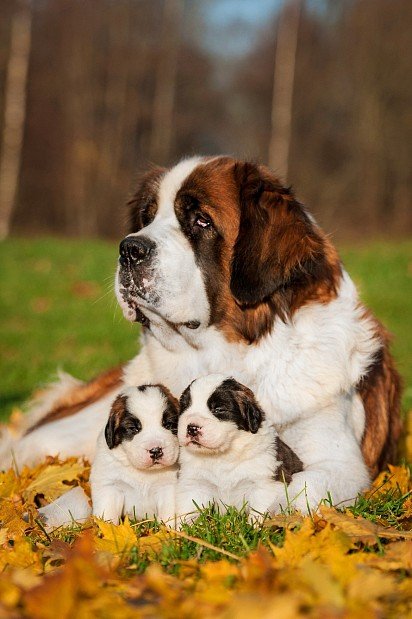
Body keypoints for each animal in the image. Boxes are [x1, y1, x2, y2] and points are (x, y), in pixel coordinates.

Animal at [90, 388, 179, 524]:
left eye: (168, 425)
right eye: (133, 428)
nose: (155, 450)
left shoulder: (168, 487)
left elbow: (168, 514)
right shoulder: (110, 485)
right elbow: (107, 514)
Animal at [177, 372, 302, 524]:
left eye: (218, 409)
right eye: (185, 407)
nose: (192, 428)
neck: (222, 455)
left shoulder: (266, 484)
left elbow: (259, 512)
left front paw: (255, 527)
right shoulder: (194, 484)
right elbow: (188, 512)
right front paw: (181, 529)